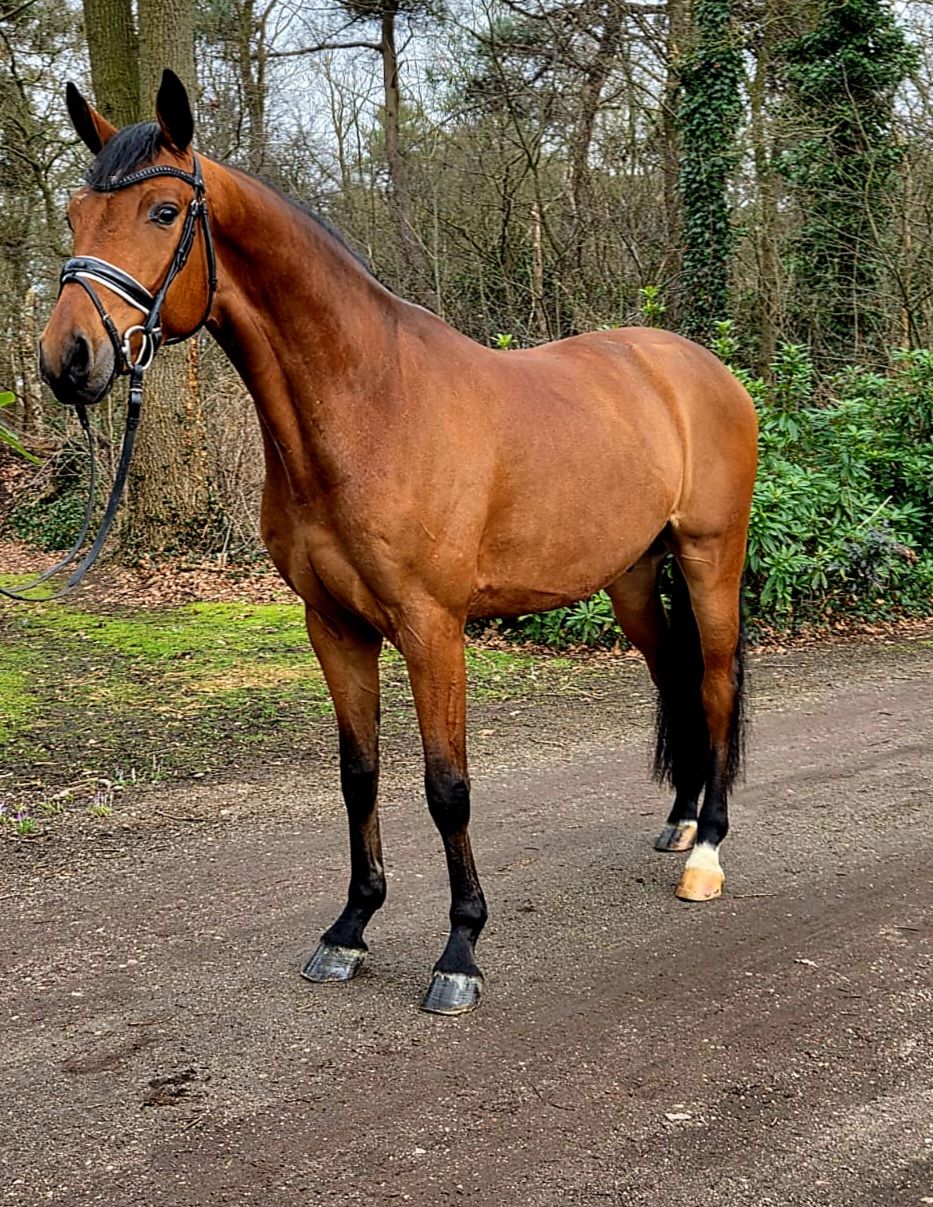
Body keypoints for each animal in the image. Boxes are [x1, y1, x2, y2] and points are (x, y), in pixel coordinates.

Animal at [39, 70, 758, 1015]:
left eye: (162, 212)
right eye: (77, 212)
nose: (67, 358)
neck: (368, 405)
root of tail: (698, 369)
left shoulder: (431, 628)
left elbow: (445, 786)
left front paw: (460, 950)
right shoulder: (333, 626)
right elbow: (359, 775)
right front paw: (349, 928)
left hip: (710, 559)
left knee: (711, 683)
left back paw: (706, 851)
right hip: (632, 579)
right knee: (672, 675)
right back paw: (676, 824)